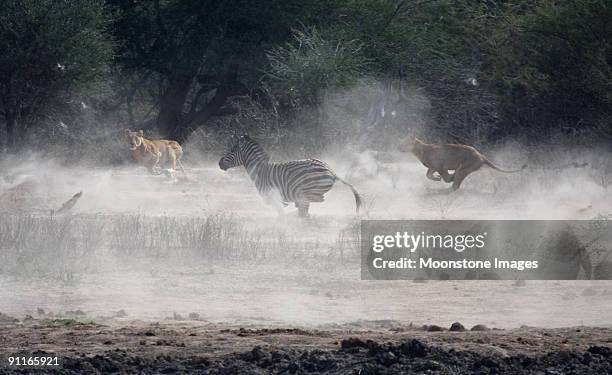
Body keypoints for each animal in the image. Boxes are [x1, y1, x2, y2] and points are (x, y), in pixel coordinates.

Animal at [219, 134, 360, 217]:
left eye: (232, 150)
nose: (219, 163)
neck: (259, 170)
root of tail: (330, 170)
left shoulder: (273, 197)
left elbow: (281, 215)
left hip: (307, 191)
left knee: (310, 206)